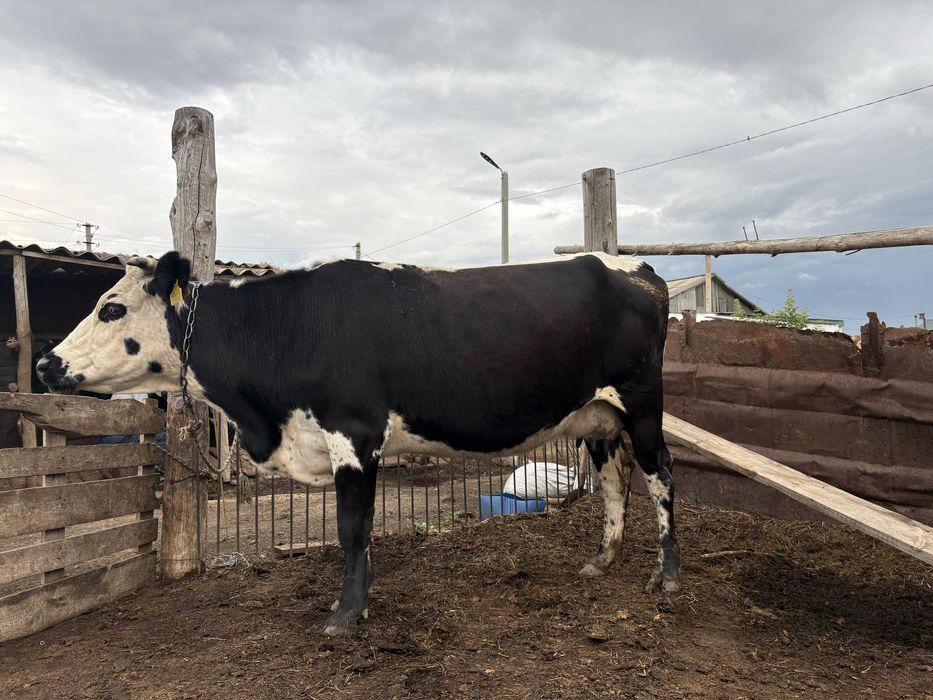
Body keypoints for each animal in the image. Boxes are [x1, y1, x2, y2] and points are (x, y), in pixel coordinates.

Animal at [37, 250, 681, 635]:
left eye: (111, 307)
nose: (45, 363)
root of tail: (633, 267)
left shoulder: (355, 432)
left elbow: (352, 527)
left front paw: (346, 614)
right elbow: (359, 530)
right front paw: (357, 599)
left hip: (642, 402)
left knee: (661, 476)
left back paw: (667, 575)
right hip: (597, 417)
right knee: (615, 480)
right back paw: (602, 558)